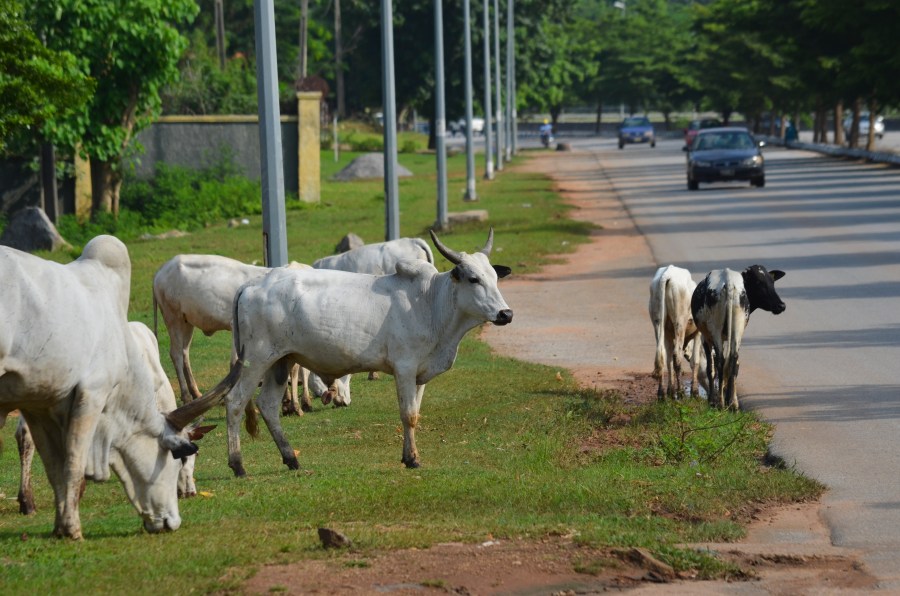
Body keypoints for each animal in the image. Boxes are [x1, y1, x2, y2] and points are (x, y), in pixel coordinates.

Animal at [0, 236, 241, 540]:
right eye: (184, 457)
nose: (189, 493)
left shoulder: (49, 400)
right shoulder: (91, 397)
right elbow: (75, 458)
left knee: (24, 437)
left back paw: (27, 500)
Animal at [153, 254, 346, 412]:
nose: (343, 400)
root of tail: (161, 270)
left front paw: (293, 402)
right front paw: (295, 404)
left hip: (186, 322)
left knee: (184, 353)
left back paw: (196, 394)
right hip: (173, 317)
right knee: (176, 354)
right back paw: (186, 397)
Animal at [224, 228, 510, 474]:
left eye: (495, 278)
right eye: (473, 279)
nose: (506, 314)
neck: (431, 303)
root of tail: (252, 284)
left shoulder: (421, 374)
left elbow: (416, 413)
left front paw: (410, 455)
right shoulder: (404, 369)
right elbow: (408, 415)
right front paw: (412, 459)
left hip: (280, 362)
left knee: (268, 406)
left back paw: (291, 458)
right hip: (256, 360)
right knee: (235, 402)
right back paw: (238, 465)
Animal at [652, 266, 708, 398]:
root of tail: (667, 273)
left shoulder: (668, 334)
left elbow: (669, 361)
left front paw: (670, 389)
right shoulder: (698, 333)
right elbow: (695, 361)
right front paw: (694, 392)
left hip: (658, 322)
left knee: (662, 356)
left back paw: (662, 393)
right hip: (680, 323)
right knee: (677, 355)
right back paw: (681, 392)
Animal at [692, 266, 784, 410]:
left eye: (772, 282)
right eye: (758, 282)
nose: (781, 305)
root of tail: (728, 279)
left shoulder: (706, 337)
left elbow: (710, 368)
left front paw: (712, 400)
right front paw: (729, 399)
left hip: (716, 330)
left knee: (720, 361)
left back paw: (721, 402)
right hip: (737, 328)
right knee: (733, 359)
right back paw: (732, 403)